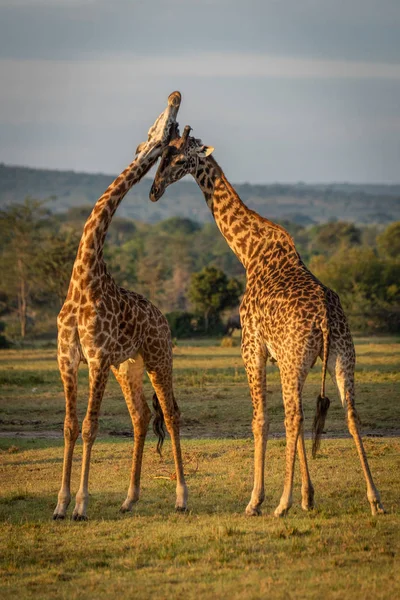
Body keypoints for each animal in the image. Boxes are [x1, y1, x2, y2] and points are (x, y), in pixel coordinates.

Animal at [52, 90, 188, 520]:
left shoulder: (95, 358)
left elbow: (90, 427)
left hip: (159, 357)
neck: (84, 277)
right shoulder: (68, 358)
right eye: (159, 126)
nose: (175, 96)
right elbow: (69, 426)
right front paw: (60, 504)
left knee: (172, 414)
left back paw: (182, 496)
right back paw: (130, 498)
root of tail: (162, 316)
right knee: (142, 416)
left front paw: (80, 504)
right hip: (128, 366)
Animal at [149, 125, 384, 516]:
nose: (154, 191)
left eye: (181, 160)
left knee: (293, 416)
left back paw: (281, 504)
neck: (249, 252)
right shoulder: (281, 357)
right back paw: (374, 499)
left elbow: (260, 420)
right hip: (340, 357)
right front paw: (308, 496)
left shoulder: (252, 347)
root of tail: (325, 317)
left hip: (296, 360)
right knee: (348, 414)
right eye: (161, 156)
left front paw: (257, 500)